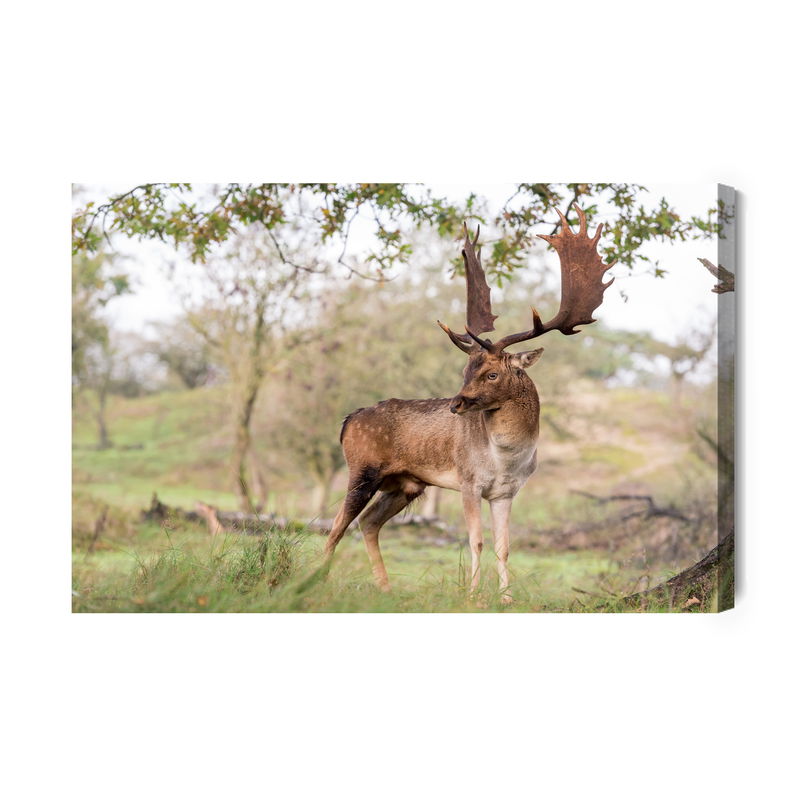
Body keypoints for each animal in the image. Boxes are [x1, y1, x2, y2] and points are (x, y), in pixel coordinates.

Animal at [324, 206, 614, 601]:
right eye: (466, 369)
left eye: (491, 374)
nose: (456, 404)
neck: (507, 459)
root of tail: (346, 421)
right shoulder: (467, 481)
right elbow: (475, 541)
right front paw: (473, 596)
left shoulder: (506, 492)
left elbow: (503, 546)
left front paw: (506, 599)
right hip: (363, 468)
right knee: (336, 525)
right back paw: (314, 579)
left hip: (405, 484)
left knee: (367, 523)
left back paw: (384, 587)